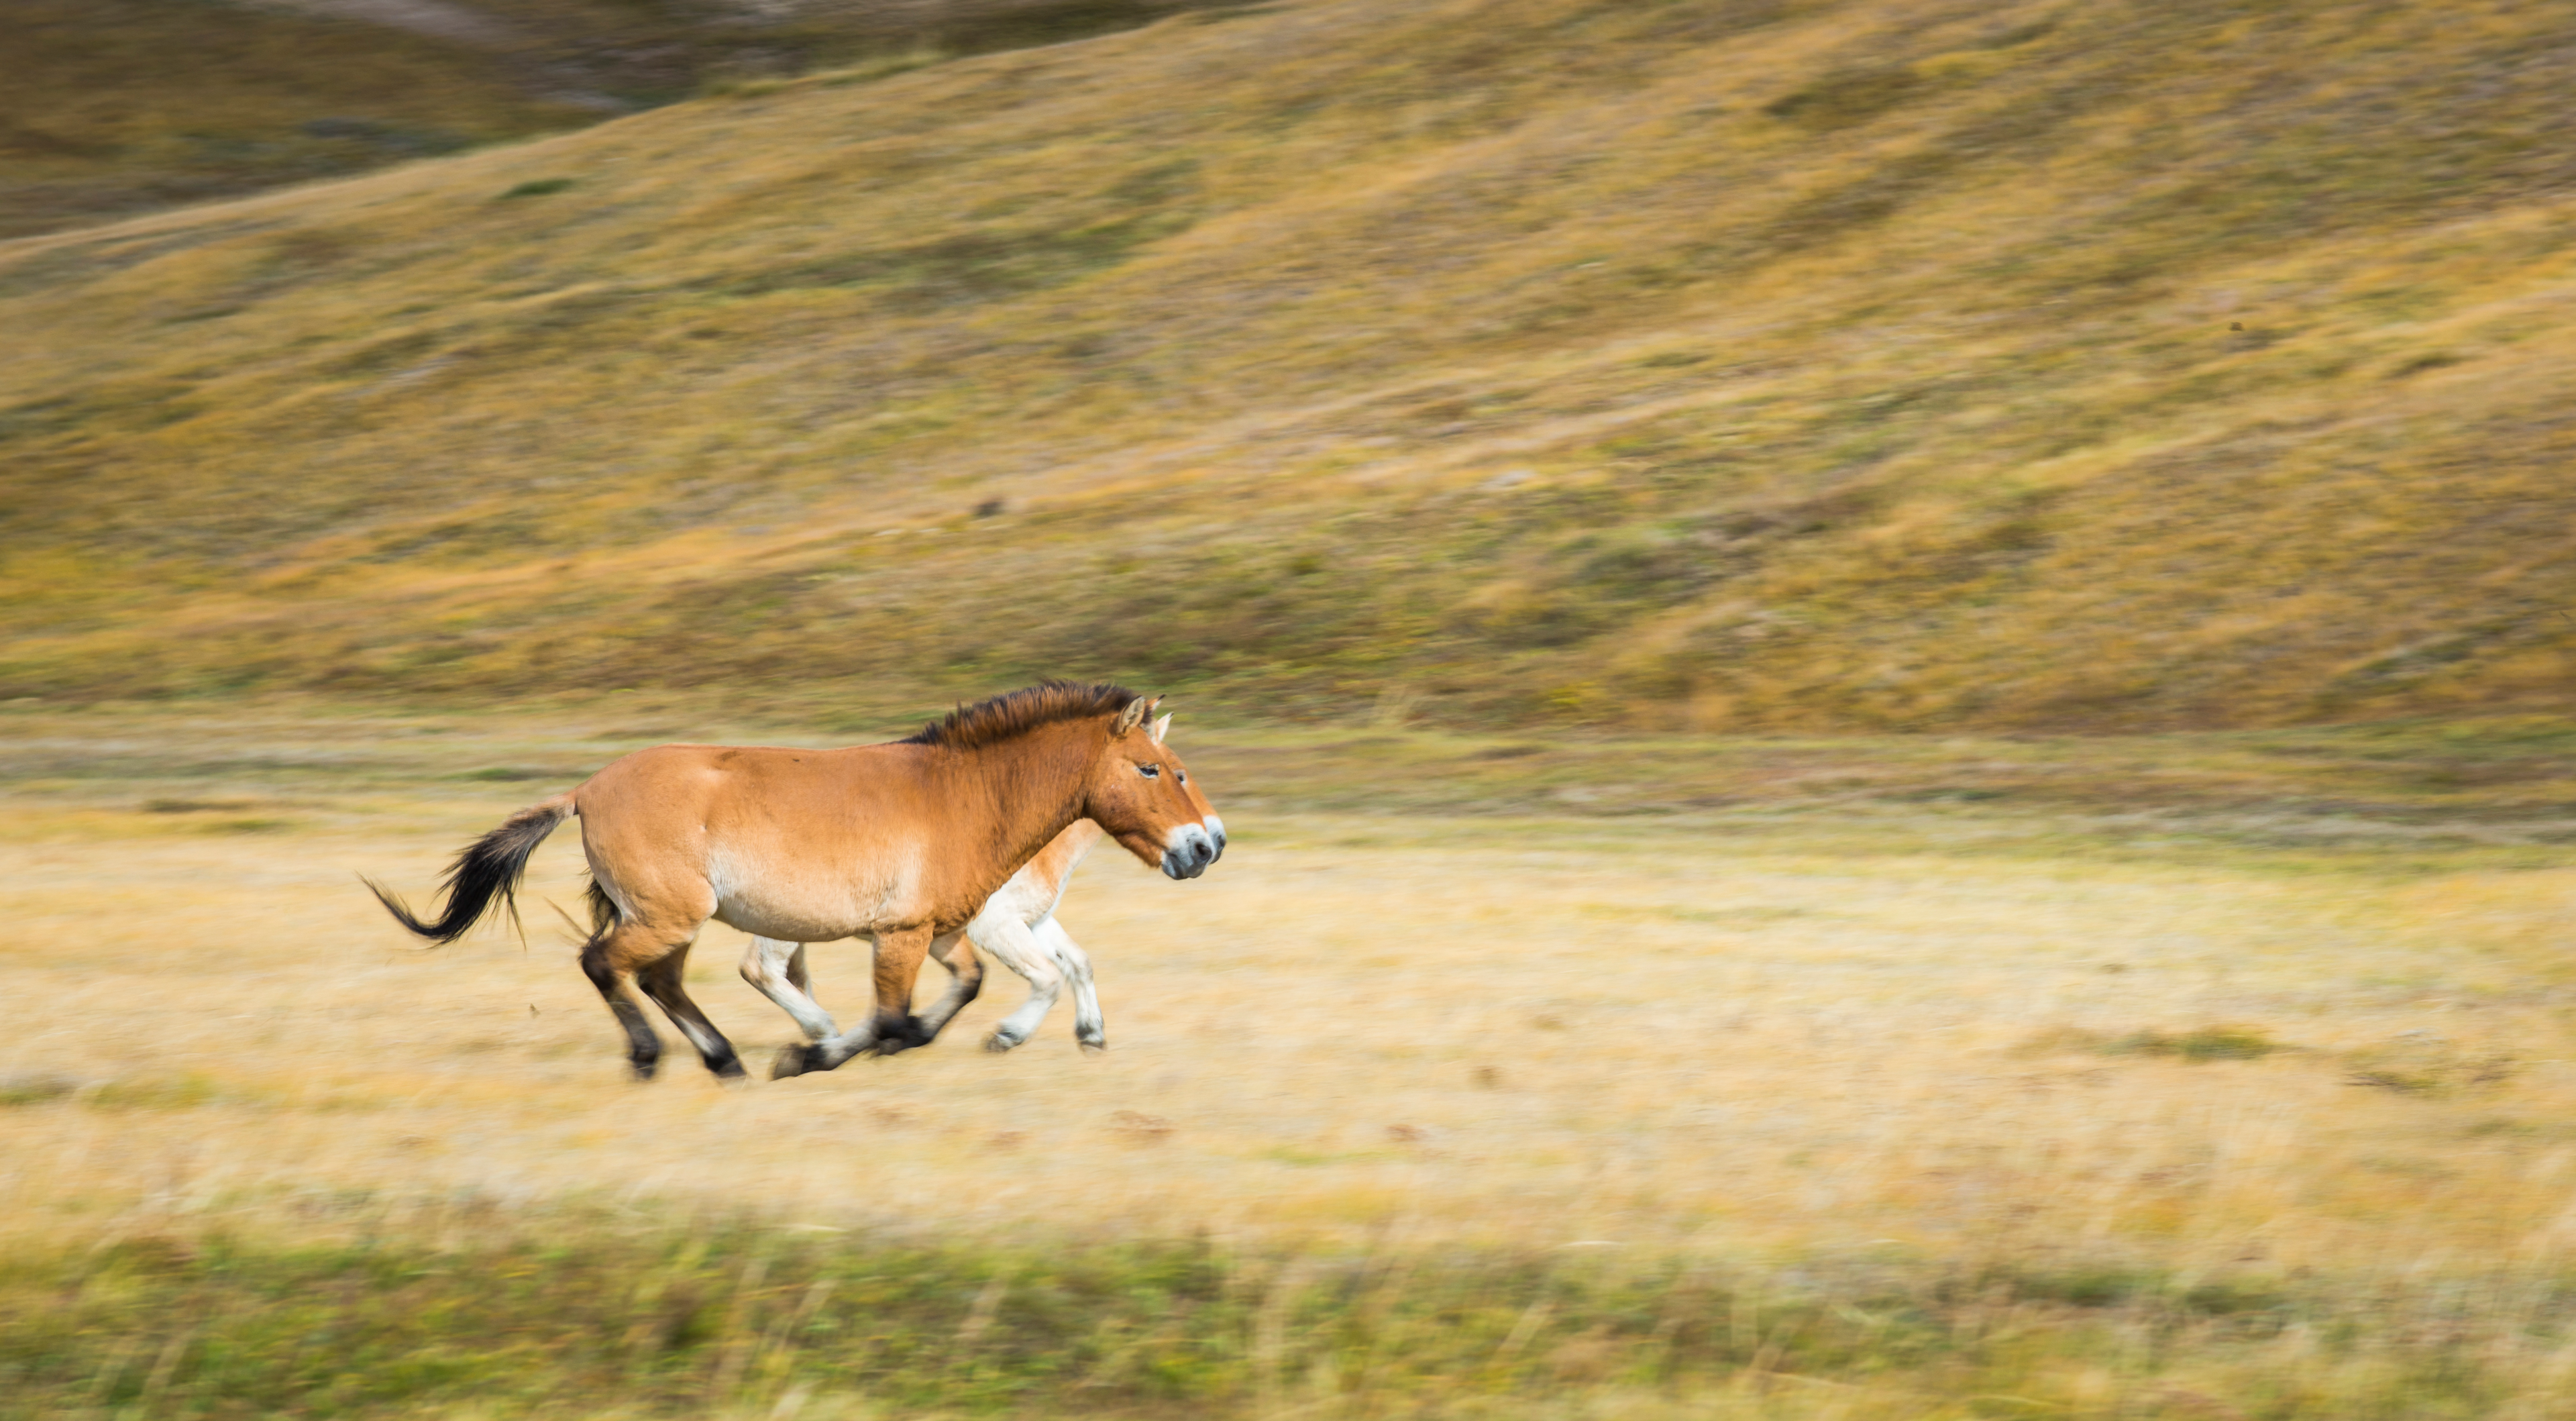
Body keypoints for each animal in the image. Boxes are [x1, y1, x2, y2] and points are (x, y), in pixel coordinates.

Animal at [368, 684, 1221, 1075]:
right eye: (1154, 770)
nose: (1206, 846)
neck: (964, 796)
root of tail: (585, 789)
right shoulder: (906, 936)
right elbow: (894, 1018)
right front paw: (819, 1053)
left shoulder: (939, 931)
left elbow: (968, 990)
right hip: (672, 915)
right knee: (605, 964)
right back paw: (652, 1056)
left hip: (677, 919)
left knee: (662, 980)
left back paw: (724, 1061)